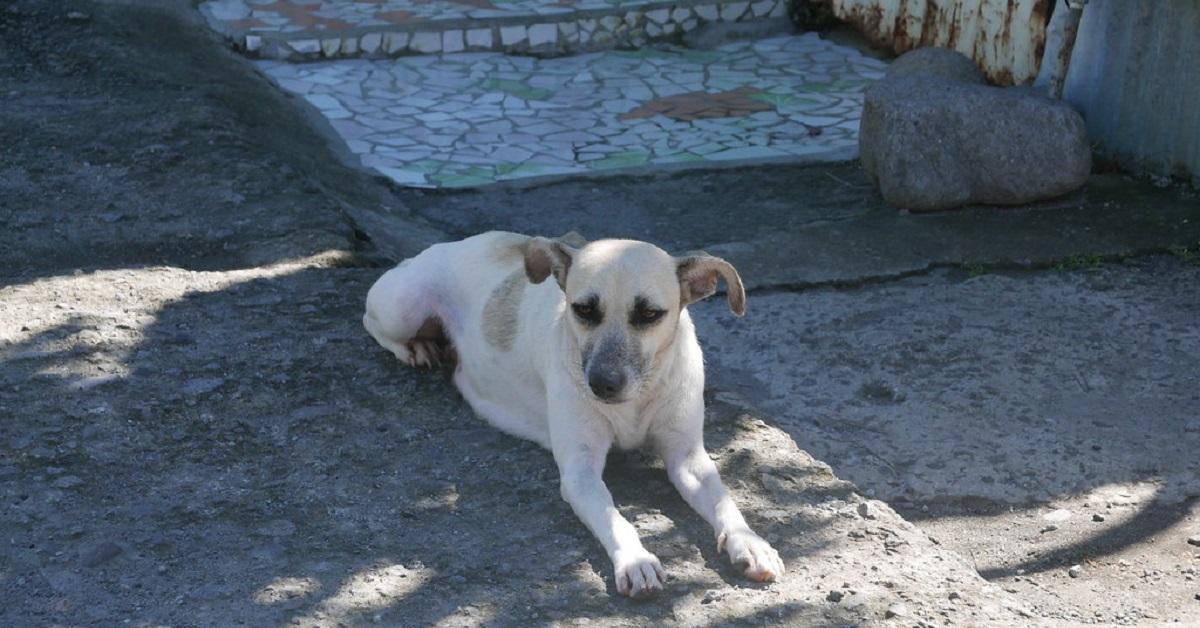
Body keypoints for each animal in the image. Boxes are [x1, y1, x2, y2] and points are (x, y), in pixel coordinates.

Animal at [360, 229, 782, 600]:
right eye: (583, 310)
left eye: (649, 314)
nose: (603, 384)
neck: (635, 398)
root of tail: (446, 246)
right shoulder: (580, 471)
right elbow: (614, 517)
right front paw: (636, 561)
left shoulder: (688, 457)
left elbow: (724, 500)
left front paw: (749, 541)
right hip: (402, 308)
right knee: (372, 323)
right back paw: (418, 348)